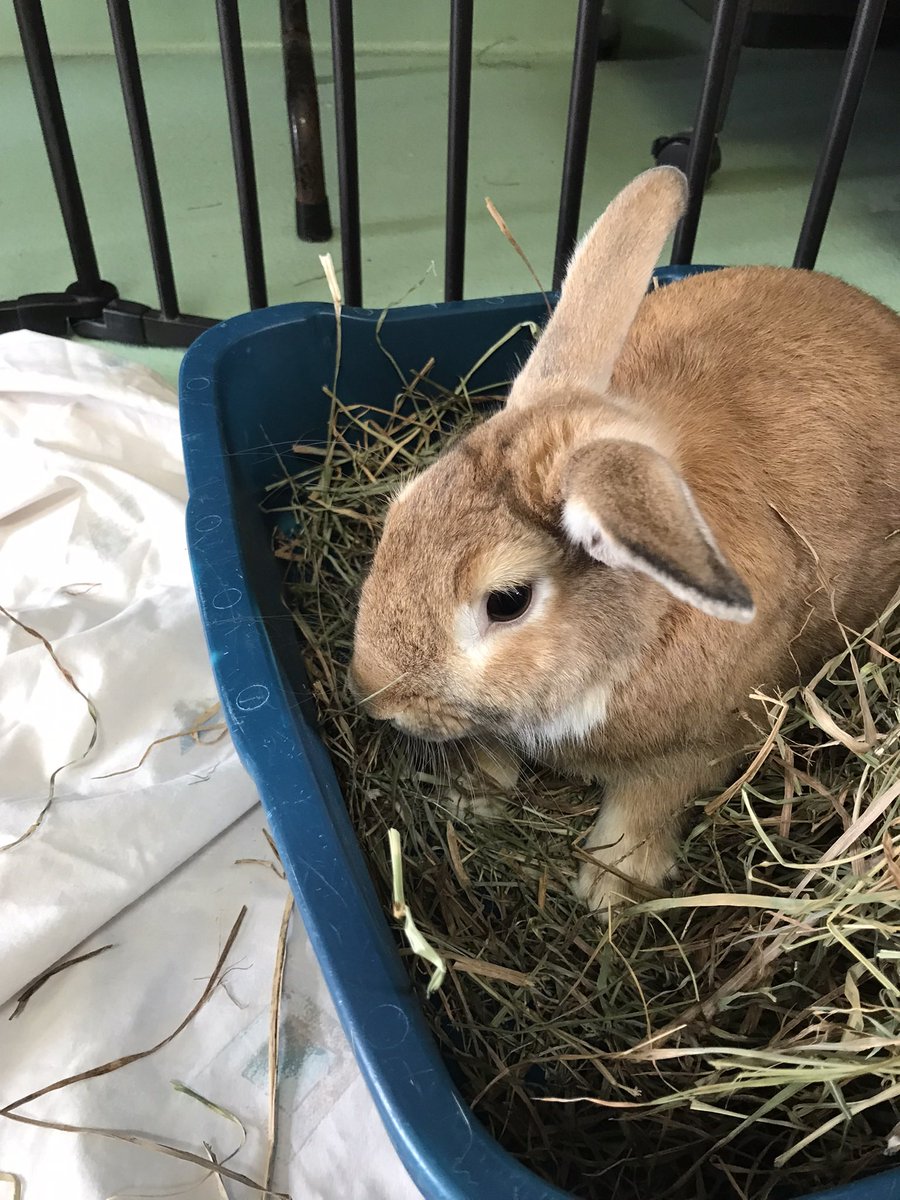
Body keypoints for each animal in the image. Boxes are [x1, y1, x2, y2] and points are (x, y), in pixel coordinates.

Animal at [350, 166, 900, 911]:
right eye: (398, 512)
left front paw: (609, 887)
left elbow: (647, 805)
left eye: (507, 601)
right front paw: (471, 798)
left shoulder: (695, 749)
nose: (373, 693)